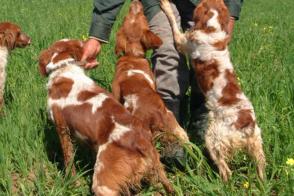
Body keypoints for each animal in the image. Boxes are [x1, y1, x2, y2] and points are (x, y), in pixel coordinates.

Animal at [38, 39, 173, 194]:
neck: (64, 68)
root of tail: (142, 142)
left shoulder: (62, 128)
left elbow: (68, 159)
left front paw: (73, 184)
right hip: (153, 172)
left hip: (103, 183)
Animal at [111, 0, 189, 147]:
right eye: (145, 18)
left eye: (126, 17)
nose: (135, 2)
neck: (132, 56)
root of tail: (153, 115)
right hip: (170, 116)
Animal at [160, 0, 266, 181]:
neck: (212, 28)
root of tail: (245, 124)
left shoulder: (182, 42)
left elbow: (173, 21)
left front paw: (166, 5)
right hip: (257, 145)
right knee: (261, 169)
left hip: (213, 139)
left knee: (226, 171)